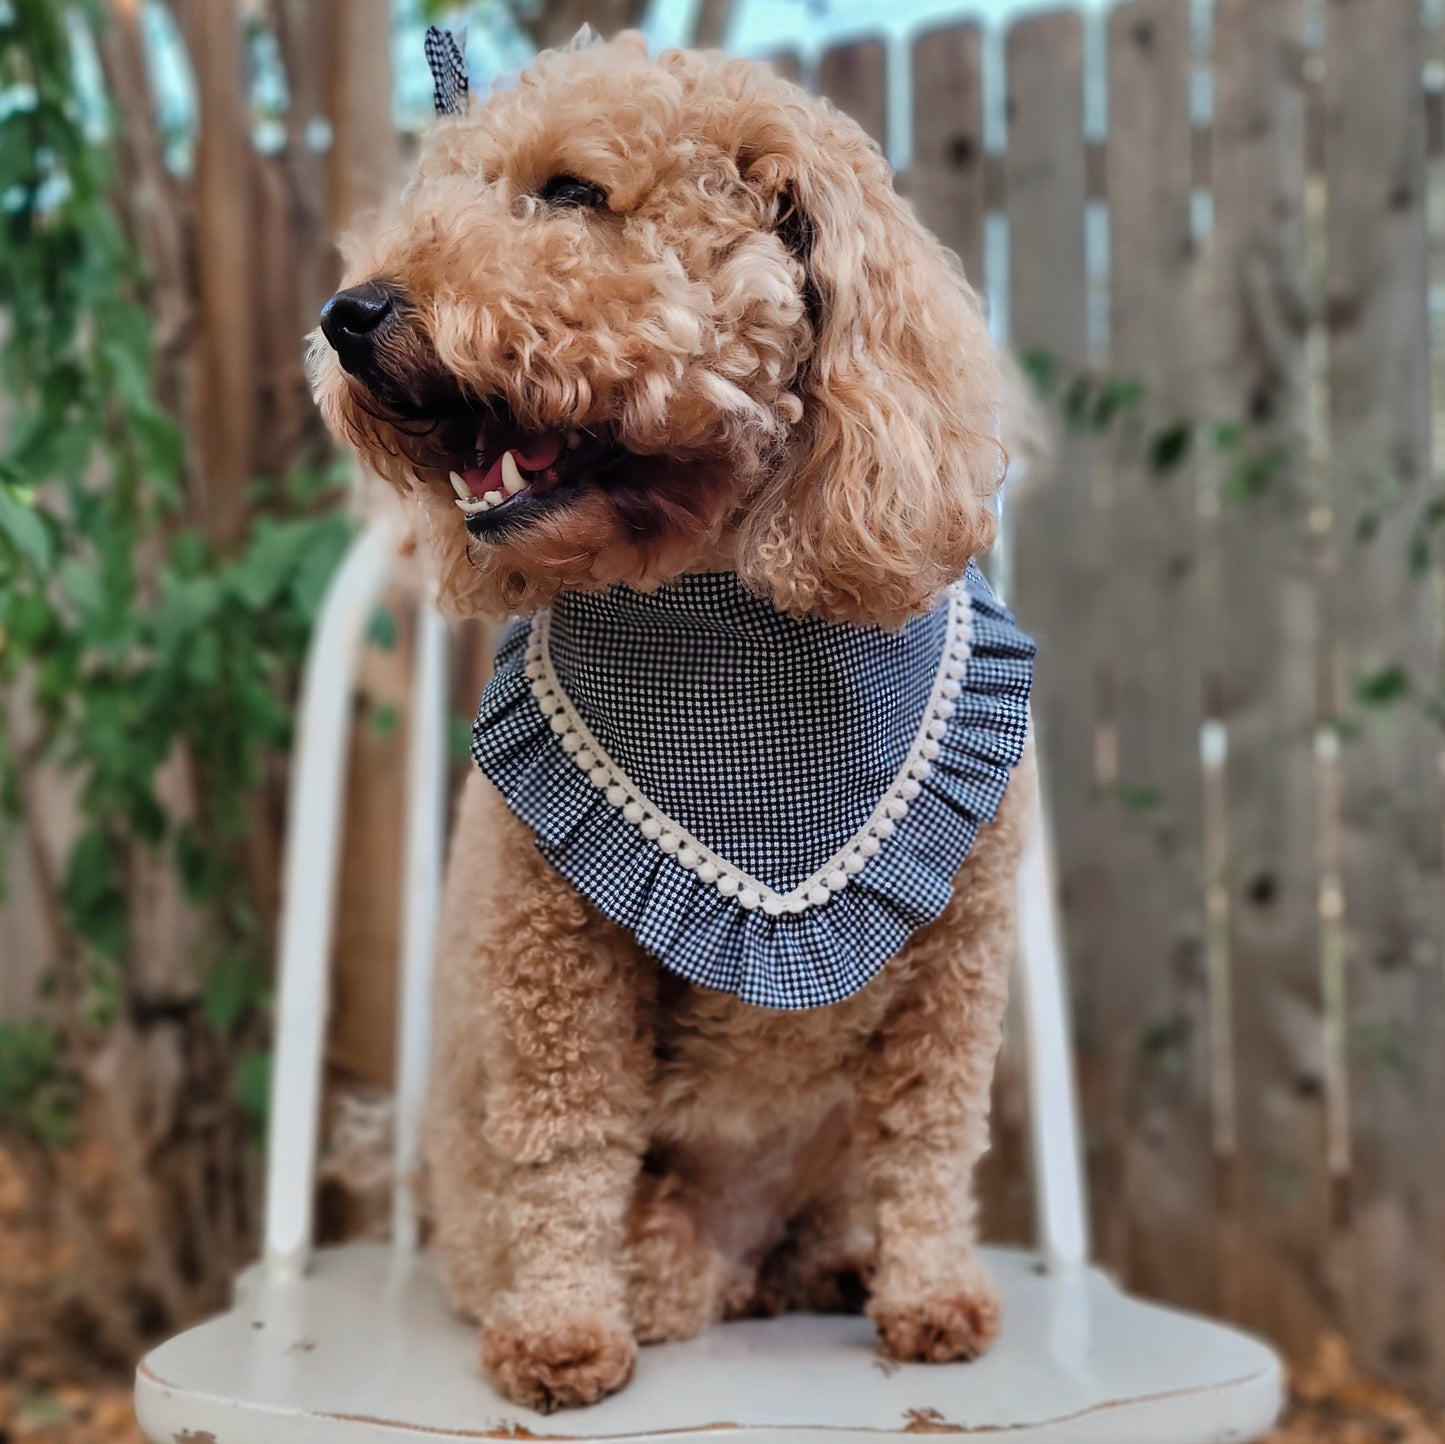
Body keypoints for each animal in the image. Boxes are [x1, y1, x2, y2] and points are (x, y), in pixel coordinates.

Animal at [316, 31, 1040, 1410]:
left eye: (568, 194)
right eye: (442, 191)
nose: (347, 315)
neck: (730, 615)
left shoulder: (956, 958)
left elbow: (929, 1135)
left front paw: (931, 1295)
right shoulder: (555, 964)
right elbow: (567, 1142)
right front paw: (560, 1331)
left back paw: (842, 1265)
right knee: (660, 1259)